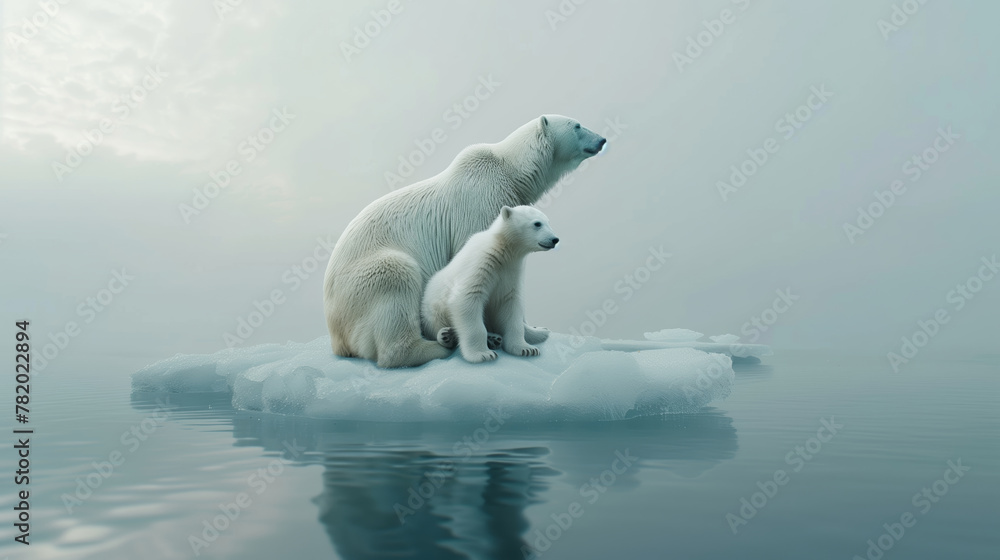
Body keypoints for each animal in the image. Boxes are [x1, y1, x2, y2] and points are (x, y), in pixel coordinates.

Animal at [422, 205, 559, 363]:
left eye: (548, 222)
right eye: (537, 223)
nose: (555, 239)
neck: (503, 248)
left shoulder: (511, 273)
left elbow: (510, 306)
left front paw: (526, 349)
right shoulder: (482, 263)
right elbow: (467, 298)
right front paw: (482, 354)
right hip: (432, 308)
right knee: (435, 323)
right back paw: (446, 335)